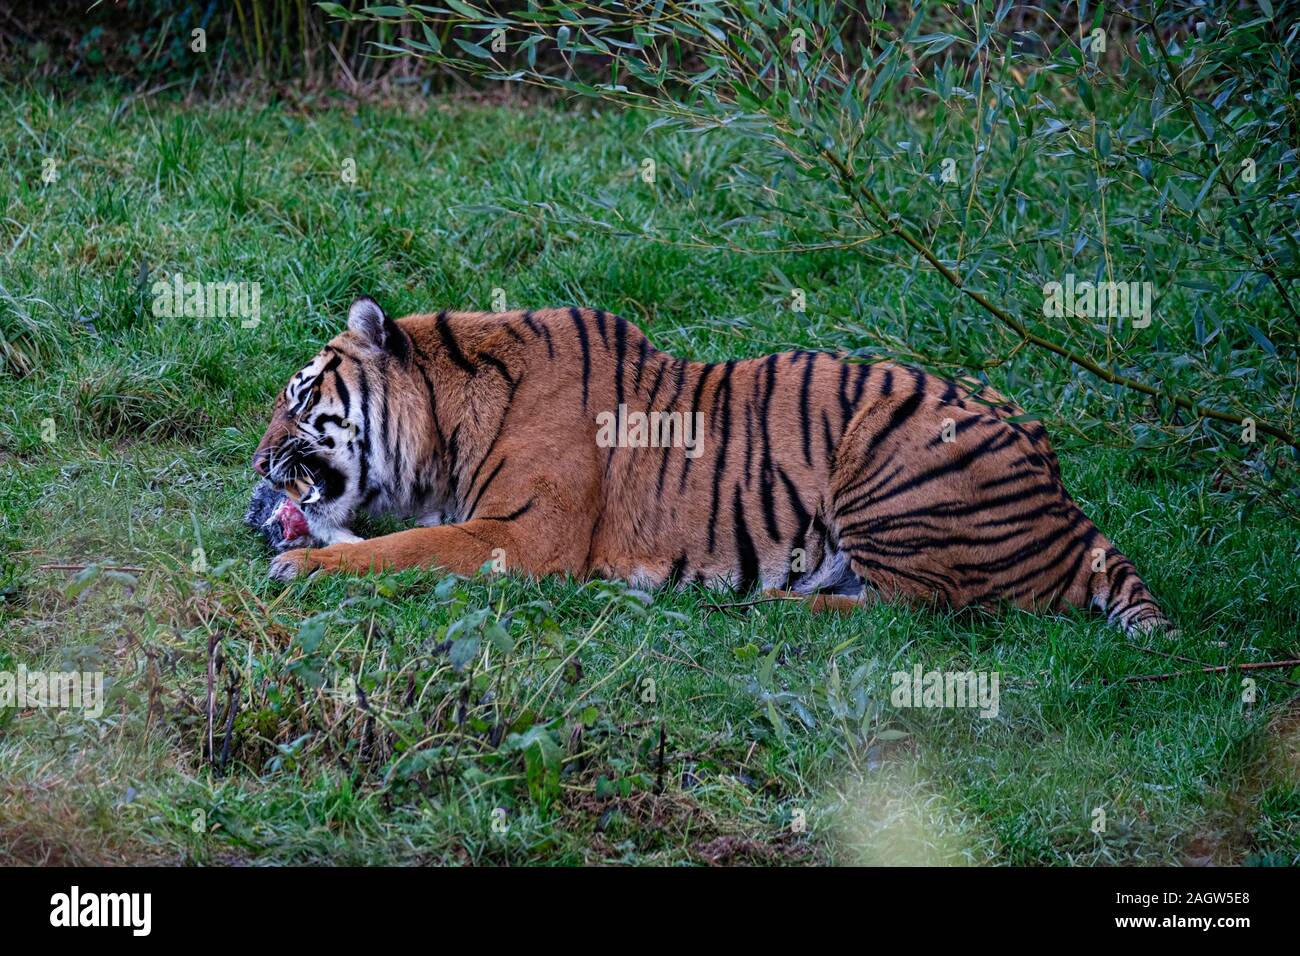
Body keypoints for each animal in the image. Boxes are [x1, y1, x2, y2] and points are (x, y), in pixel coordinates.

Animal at [250, 295, 1170, 632]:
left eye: (299, 395)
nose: (259, 462)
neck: (445, 425)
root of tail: (1069, 502)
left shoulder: (523, 536)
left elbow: (402, 549)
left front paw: (300, 563)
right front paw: (307, 542)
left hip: (887, 448)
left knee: (920, 609)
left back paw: (762, 605)